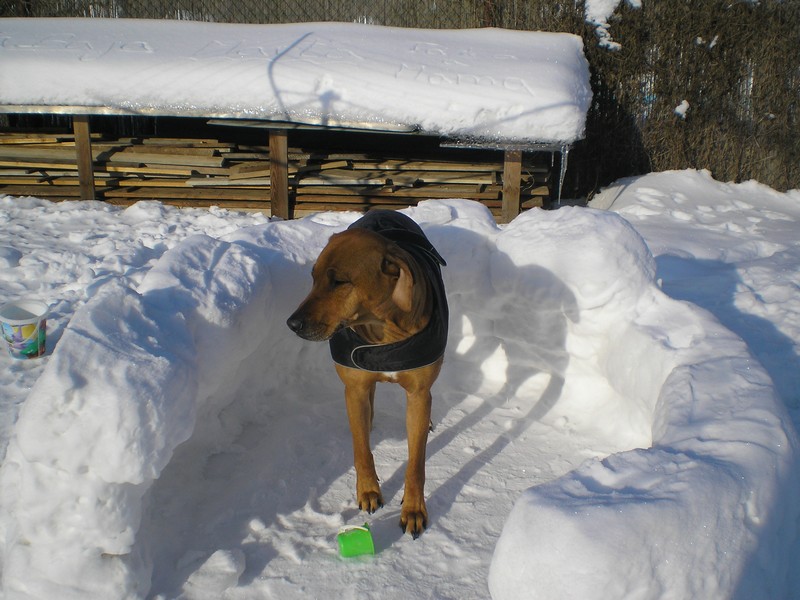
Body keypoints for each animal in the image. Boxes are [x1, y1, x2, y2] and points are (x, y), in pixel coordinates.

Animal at [288, 211, 450, 540]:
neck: (383, 331)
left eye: (339, 282)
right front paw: (369, 492)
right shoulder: (355, 387)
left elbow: (416, 463)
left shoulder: (417, 392)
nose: (292, 323)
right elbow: (361, 448)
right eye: (313, 277)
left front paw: (414, 509)